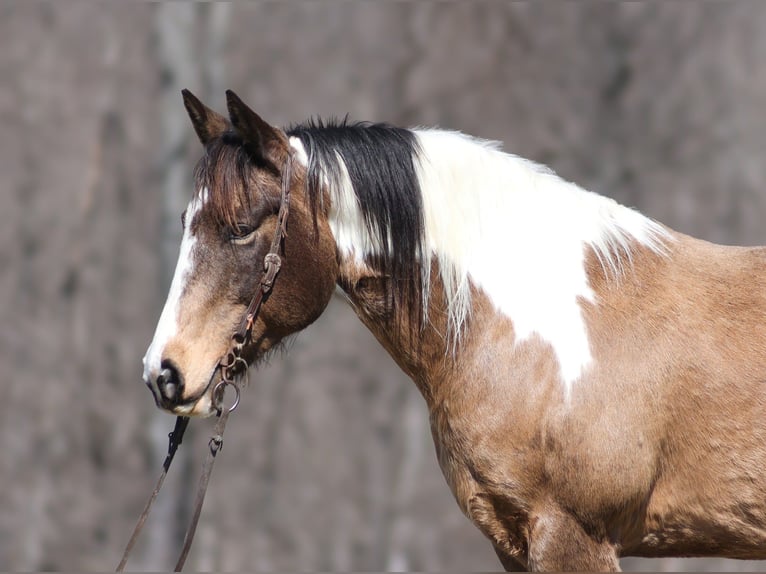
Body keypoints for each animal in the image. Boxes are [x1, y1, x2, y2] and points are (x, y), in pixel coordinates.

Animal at [141, 90, 766, 572]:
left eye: (244, 227)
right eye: (185, 222)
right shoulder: (514, 544)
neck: (535, 333)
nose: (163, 373)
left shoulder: (573, 537)